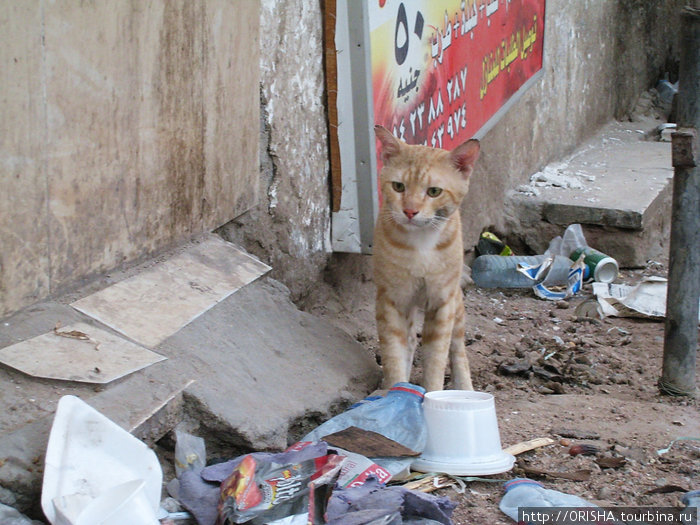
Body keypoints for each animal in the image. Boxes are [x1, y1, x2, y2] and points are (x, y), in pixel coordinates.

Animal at [372, 125, 482, 390]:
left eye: (434, 192)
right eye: (398, 187)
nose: (410, 211)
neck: (421, 243)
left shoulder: (442, 303)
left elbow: (436, 358)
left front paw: (432, 395)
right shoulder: (391, 299)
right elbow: (394, 352)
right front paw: (394, 390)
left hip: (456, 303)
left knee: (458, 348)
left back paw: (465, 388)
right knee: (410, 340)